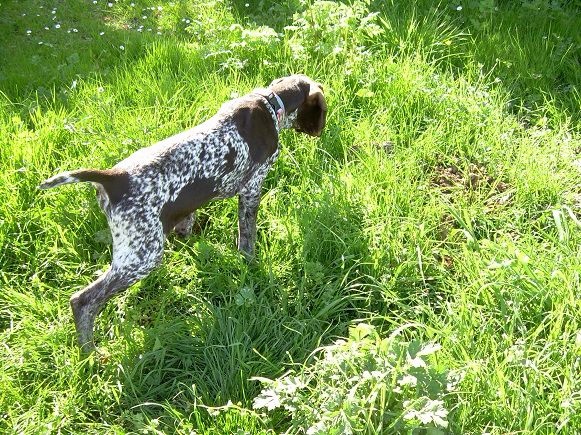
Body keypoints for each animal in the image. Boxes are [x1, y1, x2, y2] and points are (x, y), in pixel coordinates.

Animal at [39, 75, 326, 352]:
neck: (270, 102)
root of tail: (112, 178)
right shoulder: (252, 189)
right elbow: (248, 239)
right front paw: (250, 264)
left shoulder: (187, 206)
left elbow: (187, 225)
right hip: (143, 257)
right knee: (84, 301)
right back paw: (89, 351)